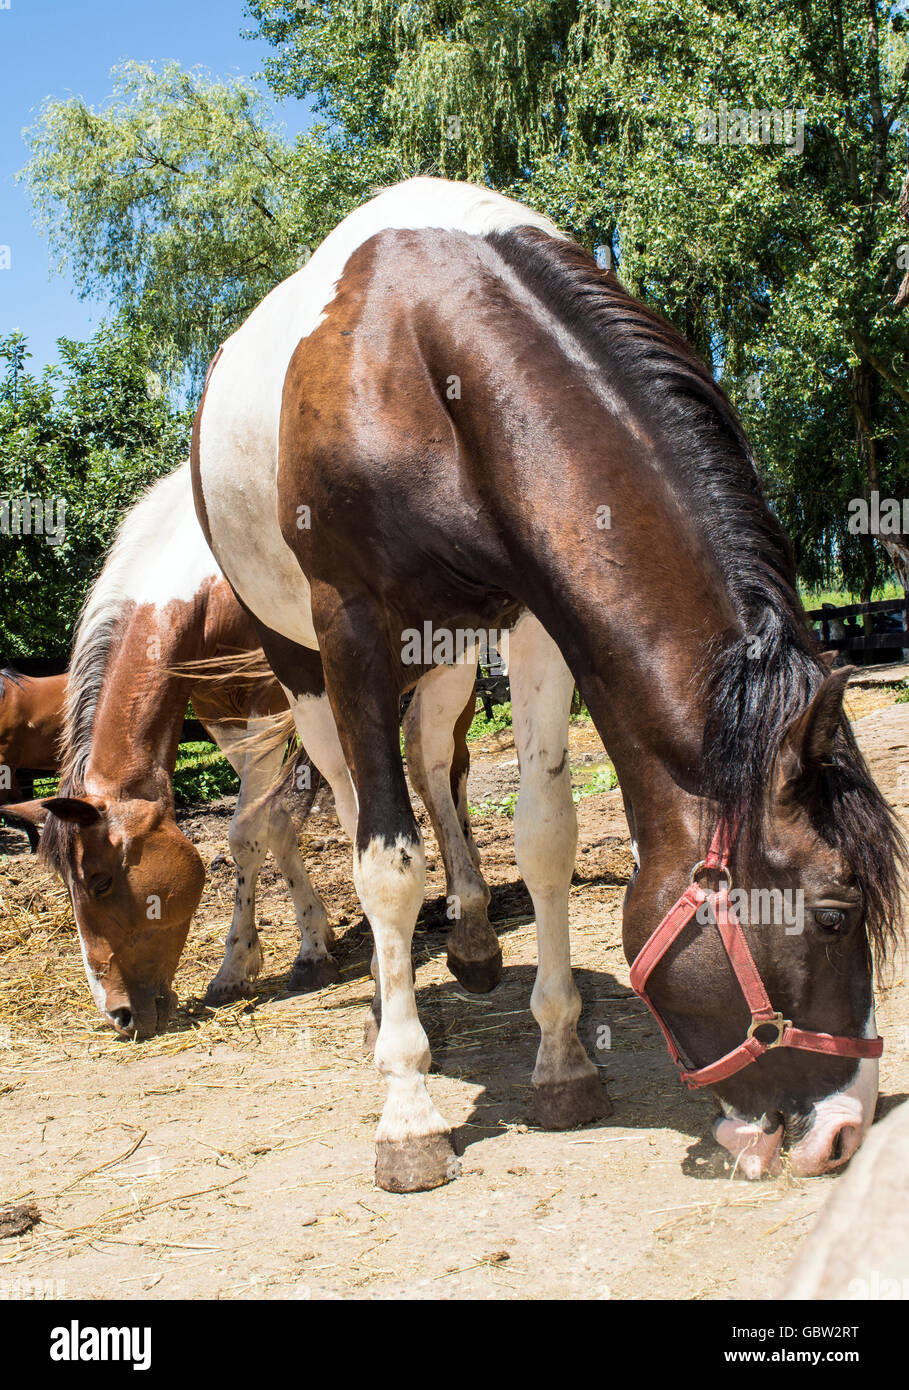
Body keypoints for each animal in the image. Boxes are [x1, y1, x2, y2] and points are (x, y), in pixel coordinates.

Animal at [191, 176, 904, 1192]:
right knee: (352, 794)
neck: (422, 348)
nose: (841, 1129)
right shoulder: (350, 627)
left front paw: (562, 1063)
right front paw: (409, 1112)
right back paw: (380, 1001)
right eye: (837, 915)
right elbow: (385, 865)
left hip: (447, 657)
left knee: (434, 766)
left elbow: (543, 836)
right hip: (303, 666)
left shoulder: (533, 621)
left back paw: (475, 939)